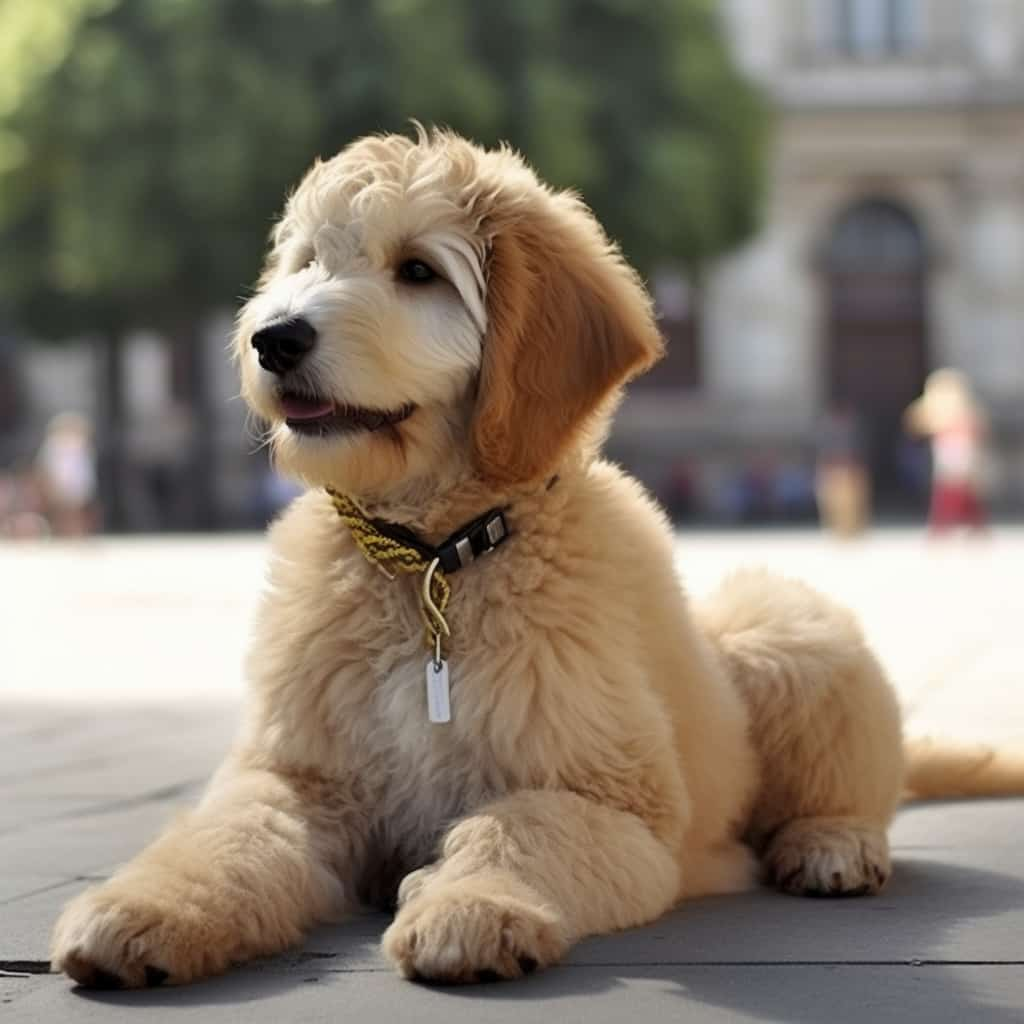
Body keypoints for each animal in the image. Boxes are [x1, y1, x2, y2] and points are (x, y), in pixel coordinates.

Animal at [49, 123, 1015, 987]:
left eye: (418, 271)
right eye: (307, 263)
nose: (273, 338)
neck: (431, 563)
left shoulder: (611, 798)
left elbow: (516, 826)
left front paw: (468, 910)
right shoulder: (297, 776)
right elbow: (229, 833)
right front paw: (143, 909)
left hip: (787, 631)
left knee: (850, 787)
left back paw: (830, 844)